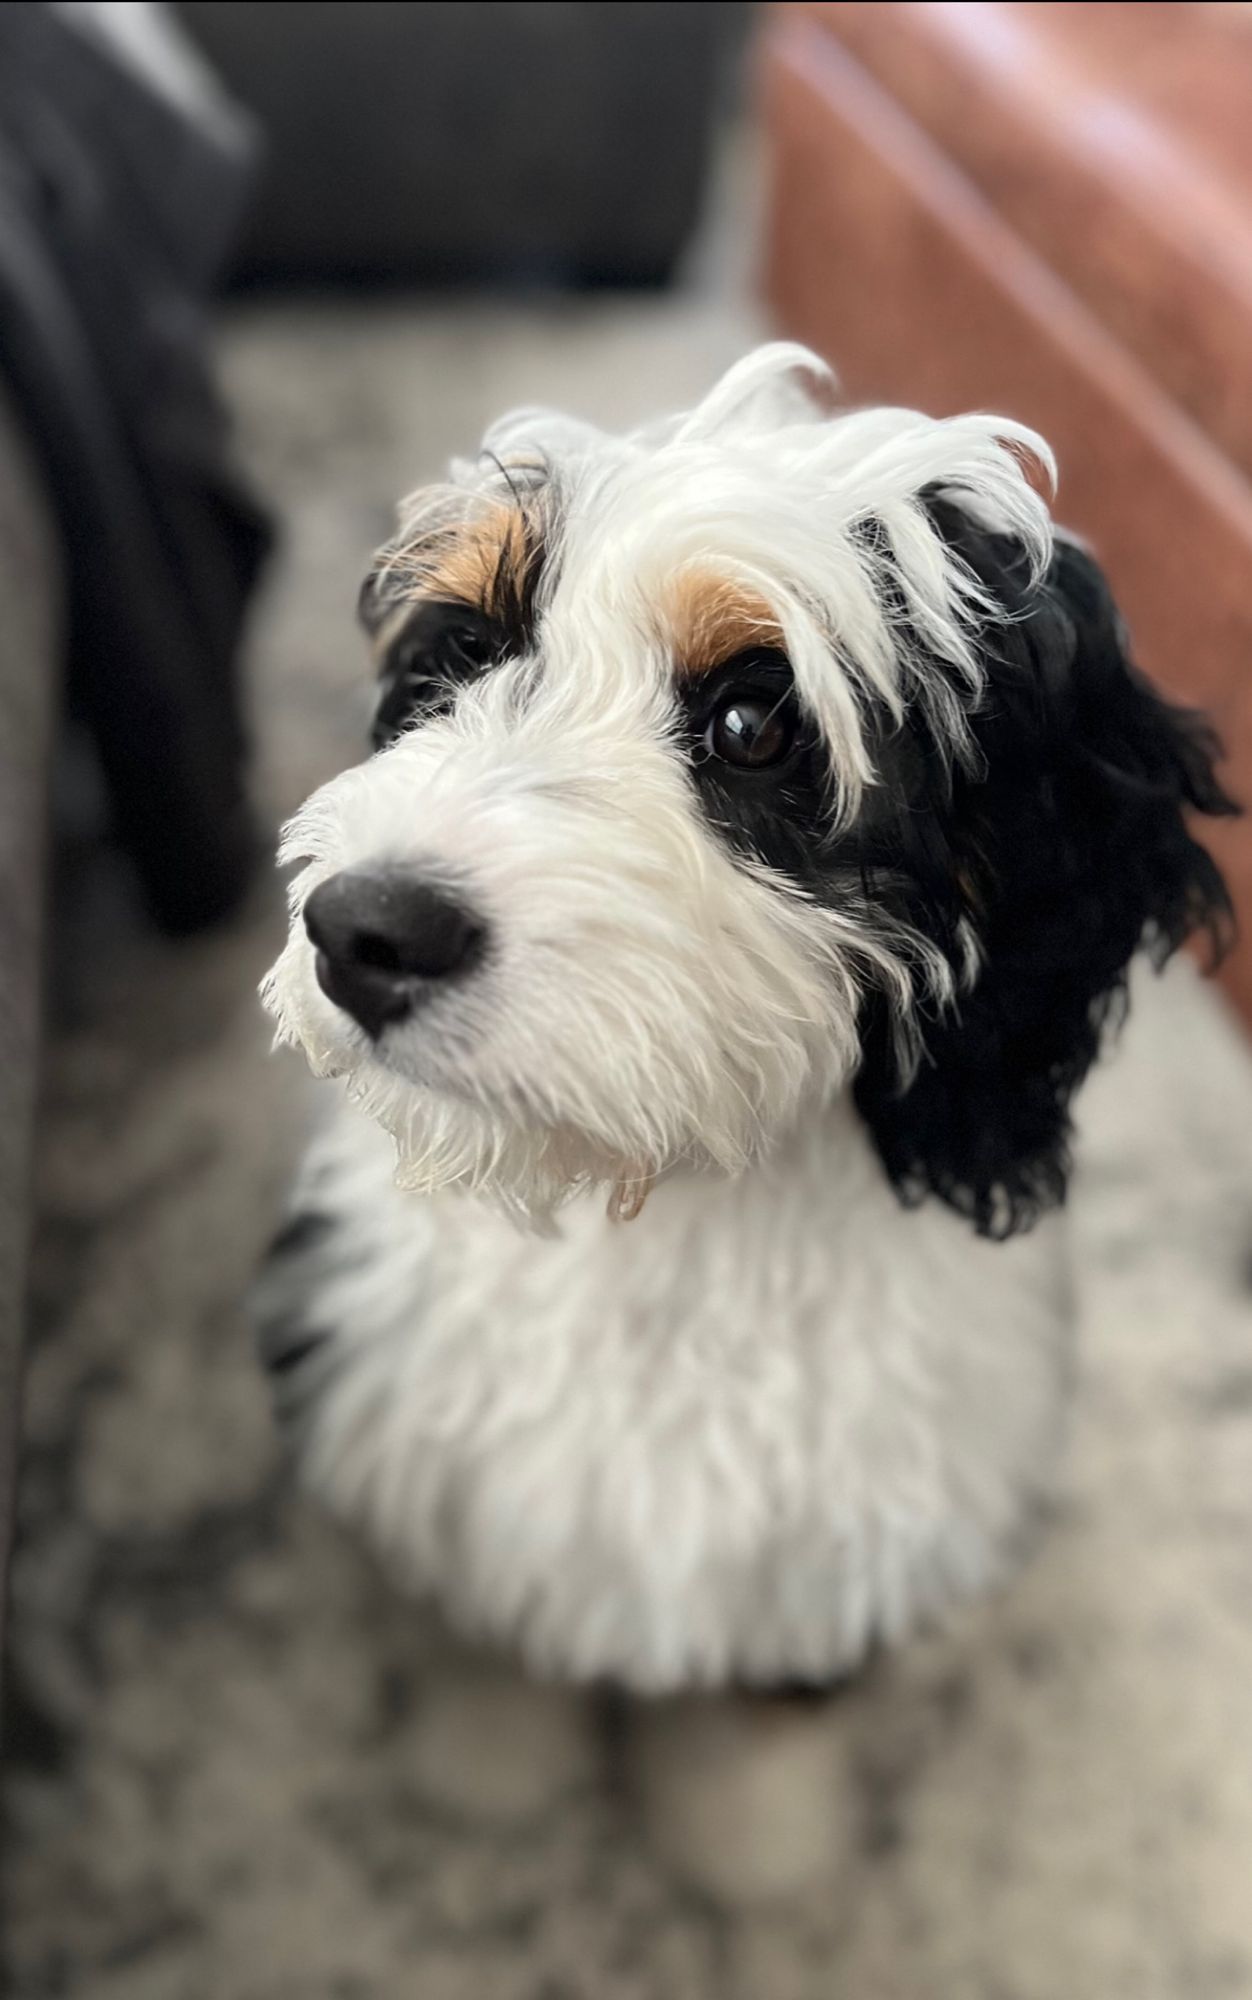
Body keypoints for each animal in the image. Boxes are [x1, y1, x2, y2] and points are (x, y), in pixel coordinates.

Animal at [254, 352, 1232, 1896]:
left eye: (753, 726)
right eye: (458, 658)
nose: (364, 929)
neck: (669, 1219)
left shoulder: (848, 1527)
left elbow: (771, 1700)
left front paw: (752, 1847)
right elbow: (484, 1634)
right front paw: (487, 1776)